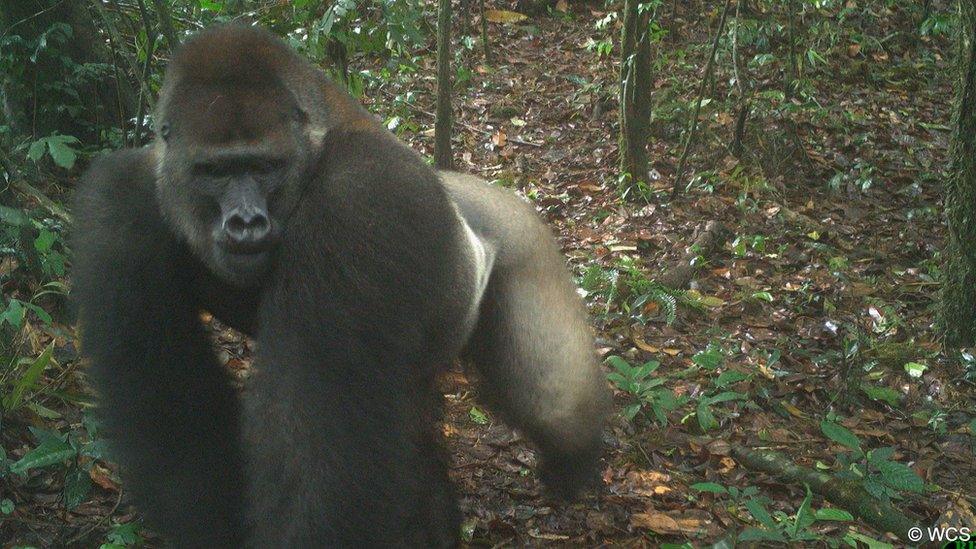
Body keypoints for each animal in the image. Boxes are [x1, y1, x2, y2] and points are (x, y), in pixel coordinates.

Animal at [74, 23, 608, 544]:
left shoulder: (359, 198)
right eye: (214, 171)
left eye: (264, 167)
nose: (245, 222)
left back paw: (574, 462)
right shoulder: (120, 202)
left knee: (554, 406)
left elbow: (322, 450)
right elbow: (170, 409)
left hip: (524, 237)